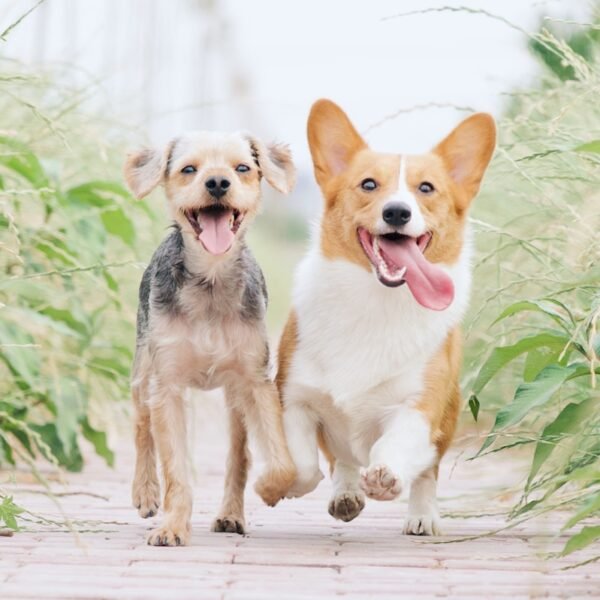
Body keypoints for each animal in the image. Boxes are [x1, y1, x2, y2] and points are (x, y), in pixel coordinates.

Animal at [124, 130, 298, 544]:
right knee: (141, 426)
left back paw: (231, 515)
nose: (218, 182)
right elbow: (175, 468)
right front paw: (172, 525)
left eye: (243, 168)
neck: (211, 280)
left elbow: (280, 460)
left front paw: (271, 488)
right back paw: (145, 492)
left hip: (234, 399)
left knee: (239, 454)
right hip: (142, 370)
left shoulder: (255, 381)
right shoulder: (167, 385)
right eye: (189, 169)